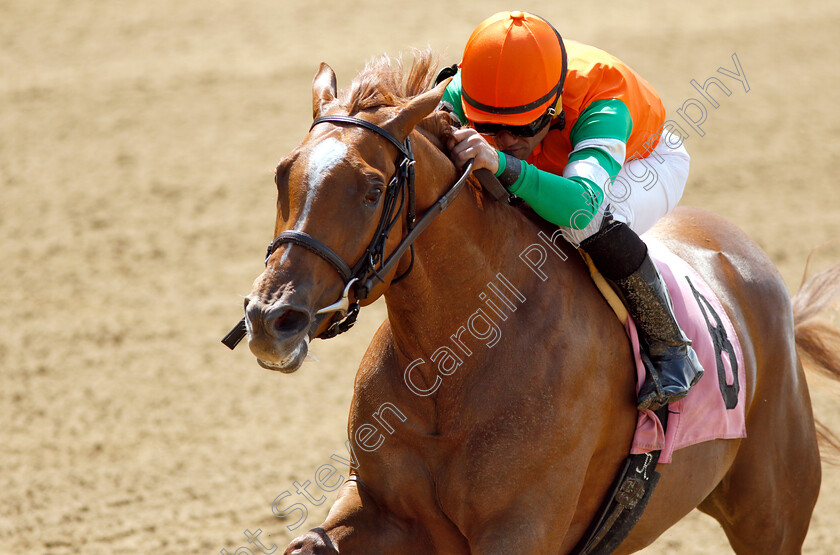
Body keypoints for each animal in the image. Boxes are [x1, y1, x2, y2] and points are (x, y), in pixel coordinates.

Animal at [241, 53, 840, 555]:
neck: (451, 368)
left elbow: (586, 200)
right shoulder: (381, 508)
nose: (272, 319)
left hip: (772, 516)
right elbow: (311, 543)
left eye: (371, 190)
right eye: (281, 174)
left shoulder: (520, 530)